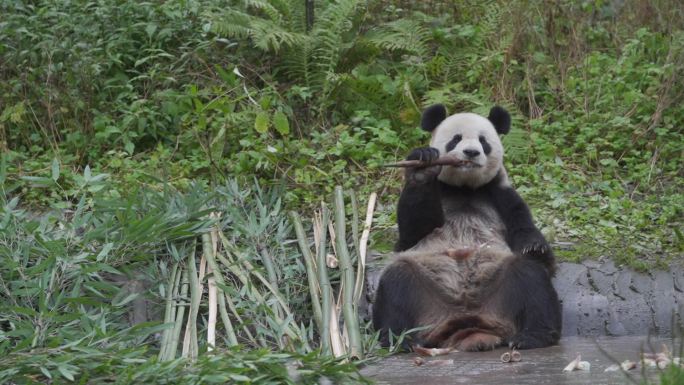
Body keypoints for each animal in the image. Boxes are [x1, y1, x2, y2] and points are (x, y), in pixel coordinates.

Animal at [374, 103, 560, 350]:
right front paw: (423, 166)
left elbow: (524, 226)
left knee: (532, 279)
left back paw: (532, 336)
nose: (471, 153)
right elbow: (413, 232)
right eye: (456, 139)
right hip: (424, 288)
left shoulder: (498, 192)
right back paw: (398, 340)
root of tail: (468, 322)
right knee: (397, 283)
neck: (464, 187)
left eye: (483, 141)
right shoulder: (440, 192)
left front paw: (535, 247)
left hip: (500, 285)